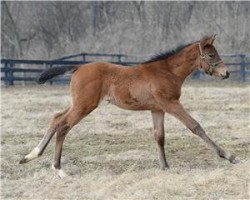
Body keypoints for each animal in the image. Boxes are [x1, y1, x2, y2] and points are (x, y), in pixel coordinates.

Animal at [20, 35, 236, 177]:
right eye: (210, 55)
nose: (226, 73)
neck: (167, 72)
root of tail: (79, 66)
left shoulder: (157, 109)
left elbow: (159, 137)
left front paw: (164, 167)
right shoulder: (171, 104)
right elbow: (195, 126)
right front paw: (228, 156)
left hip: (78, 103)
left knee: (56, 118)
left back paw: (31, 156)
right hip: (84, 105)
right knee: (63, 126)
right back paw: (58, 169)